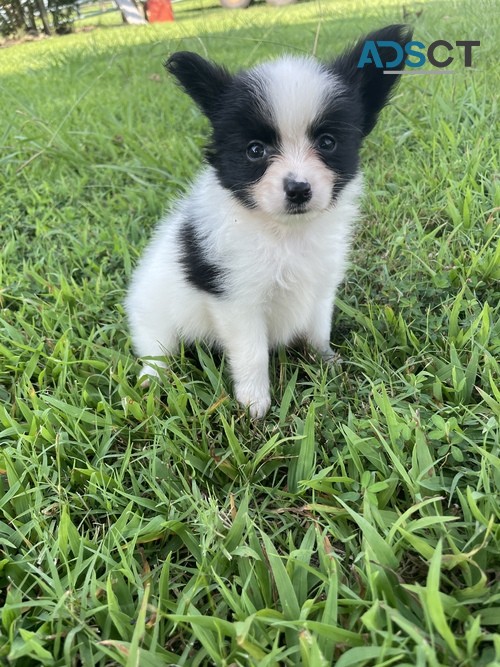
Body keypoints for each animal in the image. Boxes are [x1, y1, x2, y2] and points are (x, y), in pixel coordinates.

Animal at [125, 24, 410, 418]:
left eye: (327, 142)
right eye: (255, 150)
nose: (298, 189)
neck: (285, 234)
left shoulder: (321, 286)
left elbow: (317, 330)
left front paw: (327, 363)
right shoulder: (237, 300)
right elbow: (252, 353)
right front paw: (253, 403)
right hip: (154, 314)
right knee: (157, 350)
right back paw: (152, 380)